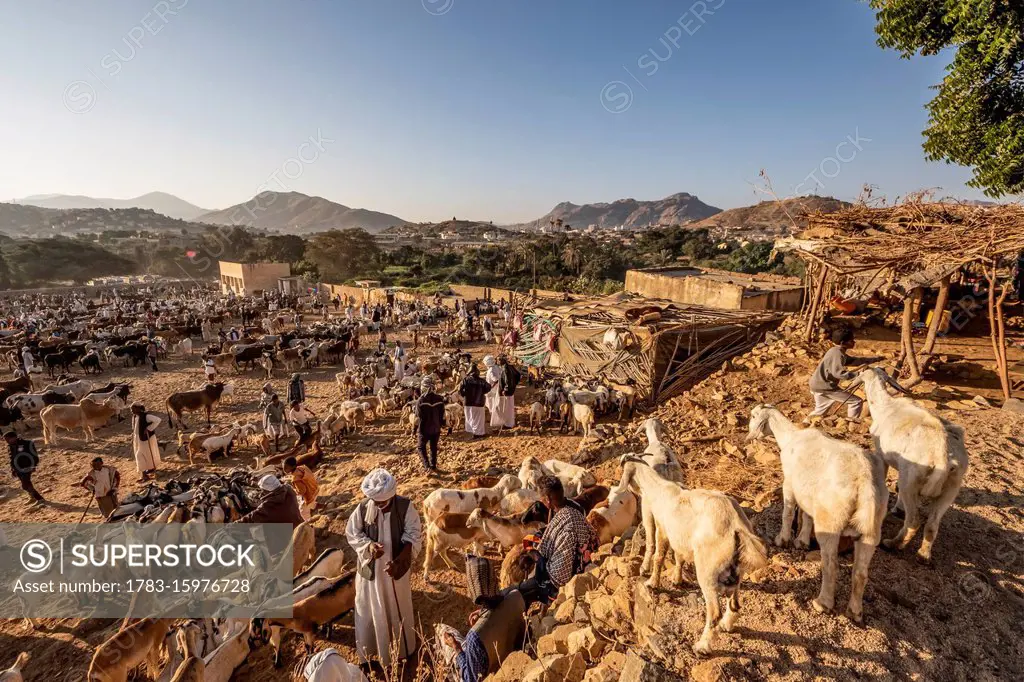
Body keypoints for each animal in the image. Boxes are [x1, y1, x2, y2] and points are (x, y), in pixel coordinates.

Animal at [610, 456, 765, 655]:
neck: (660, 488)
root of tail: (737, 527)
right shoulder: (679, 537)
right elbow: (679, 557)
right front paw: (677, 580)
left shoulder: (663, 529)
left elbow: (659, 556)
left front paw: (652, 583)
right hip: (736, 571)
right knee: (735, 603)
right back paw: (727, 625)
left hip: (707, 571)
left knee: (714, 613)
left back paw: (702, 647)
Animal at [745, 403, 888, 622]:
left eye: (753, 416)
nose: (748, 435)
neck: (791, 437)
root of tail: (864, 483)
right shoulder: (809, 494)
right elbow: (806, 516)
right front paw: (802, 541)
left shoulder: (789, 483)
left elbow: (788, 512)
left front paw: (783, 539)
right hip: (871, 528)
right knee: (861, 572)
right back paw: (855, 612)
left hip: (831, 520)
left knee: (831, 565)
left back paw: (823, 603)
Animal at [856, 368, 966, 561]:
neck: (886, 406)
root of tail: (943, 457)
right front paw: (898, 510)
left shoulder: (882, 456)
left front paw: (896, 509)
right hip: (952, 487)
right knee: (932, 523)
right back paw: (923, 555)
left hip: (912, 479)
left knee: (914, 520)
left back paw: (892, 544)